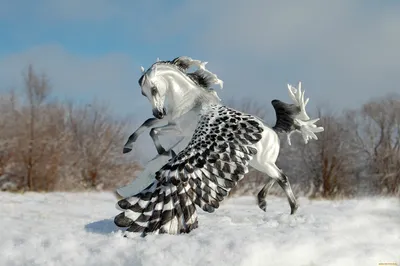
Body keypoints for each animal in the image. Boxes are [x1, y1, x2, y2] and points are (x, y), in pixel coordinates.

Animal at [114, 57, 324, 235]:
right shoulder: (172, 125)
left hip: (263, 162)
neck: (189, 101)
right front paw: (132, 148)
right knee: (279, 174)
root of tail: (272, 131)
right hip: (257, 161)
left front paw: (164, 153)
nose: (159, 111)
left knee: (282, 177)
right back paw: (263, 201)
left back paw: (292, 211)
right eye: (143, 92)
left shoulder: (181, 131)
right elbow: (149, 127)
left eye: (154, 89)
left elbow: (155, 134)